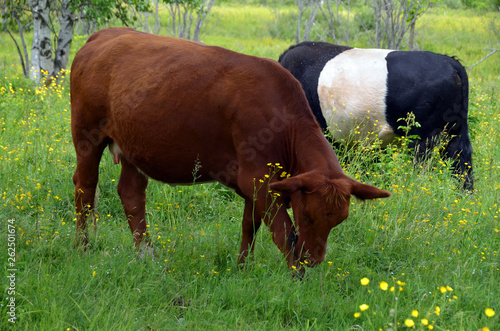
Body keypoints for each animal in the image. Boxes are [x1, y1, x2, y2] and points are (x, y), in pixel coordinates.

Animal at [70, 27, 390, 272]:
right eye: (309, 216)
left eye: (339, 220)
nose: (313, 260)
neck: (281, 118)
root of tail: (105, 34)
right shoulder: (259, 180)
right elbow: (284, 232)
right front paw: (295, 277)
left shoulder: (256, 181)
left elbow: (250, 226)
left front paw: (242, 268)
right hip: (87, 136)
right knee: (85, 188)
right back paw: (83, 248)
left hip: (133, 146)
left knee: (131, 195)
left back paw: (146, 254)